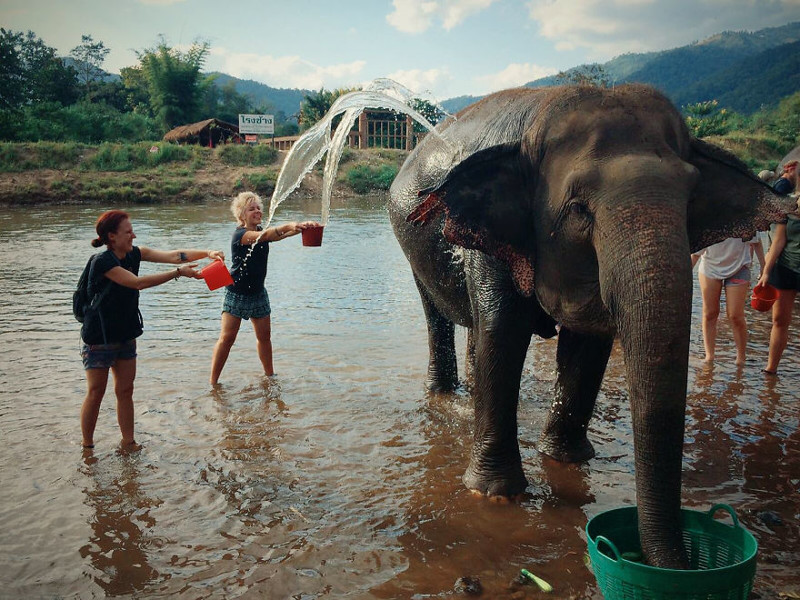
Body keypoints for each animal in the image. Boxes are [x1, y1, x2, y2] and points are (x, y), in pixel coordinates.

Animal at [386, 83, 792, 568]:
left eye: (691, 200)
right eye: (578, 208)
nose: (679, 566)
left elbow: (590, 341)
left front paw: (566, 459)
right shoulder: (493, 237)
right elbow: (502, 332)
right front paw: (494, 496)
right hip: (411, 243)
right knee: (438, 316)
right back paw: (444, 395)